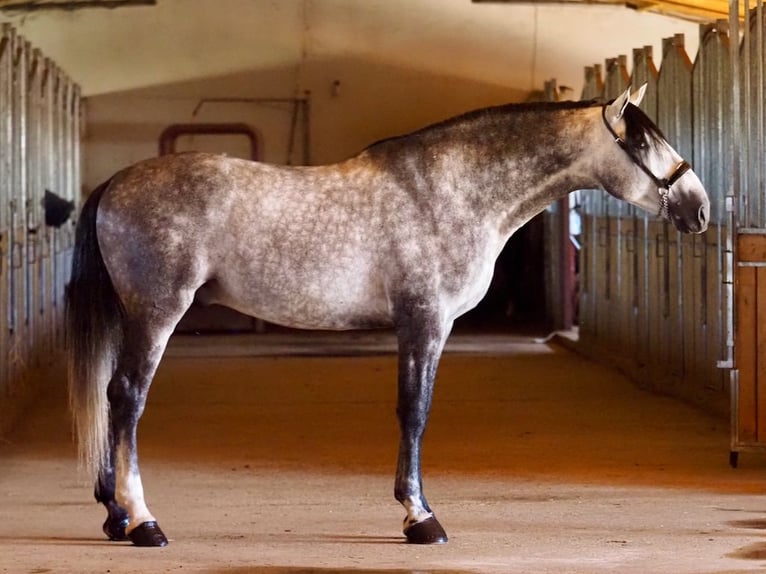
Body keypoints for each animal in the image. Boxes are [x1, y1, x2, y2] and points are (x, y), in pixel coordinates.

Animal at [67, 85, 712, 548]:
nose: (699, 209)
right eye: (643, 143)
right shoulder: (425, 322)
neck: (453, 192)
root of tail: (116, 182)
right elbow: (415, 412)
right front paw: (420, 518)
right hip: (157, 312)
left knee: (110, 396)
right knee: (127, 398)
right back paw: (143, 522)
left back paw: (113, 515)